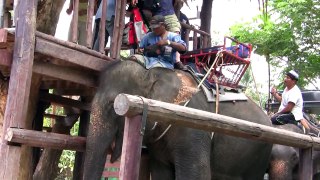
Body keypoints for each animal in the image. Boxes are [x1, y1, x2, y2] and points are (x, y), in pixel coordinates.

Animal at [83, 59, 272, 179]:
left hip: (259, 154)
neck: (152, 71)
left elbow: (197, 173)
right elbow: (161, 173)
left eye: (112, 105)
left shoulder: (195, 124)